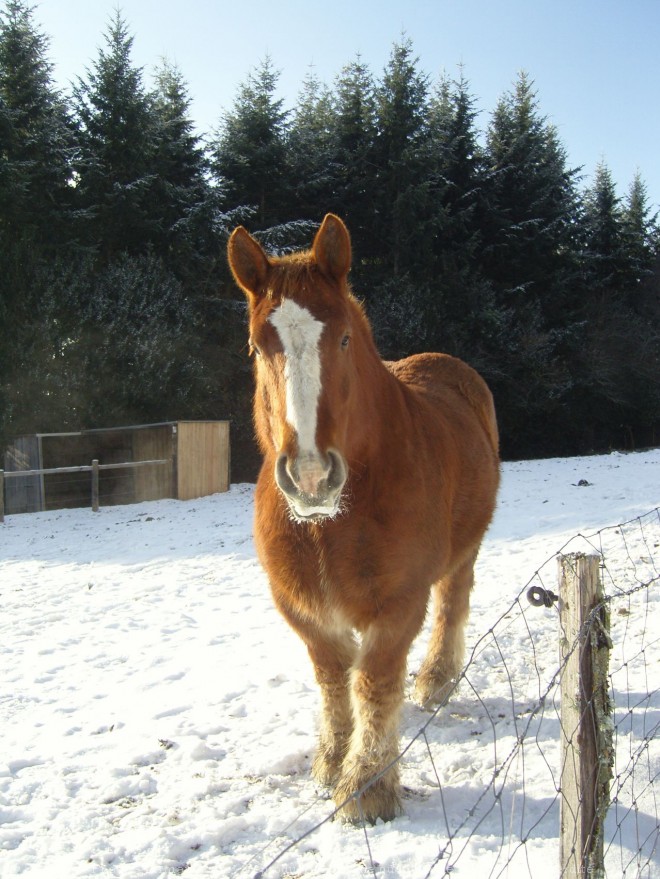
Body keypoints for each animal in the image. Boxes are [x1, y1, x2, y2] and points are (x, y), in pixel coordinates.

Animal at [228, 213, 500, 824]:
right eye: (256, 347)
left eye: (345, 338)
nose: (310, 474)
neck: (330, 526)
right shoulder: (302, 608)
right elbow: (334, 680)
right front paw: (331, 761)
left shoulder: (398, 605)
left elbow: (375, 684)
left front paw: (367, 787)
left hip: (464, 550)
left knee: (453, 601)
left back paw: (436, 680)